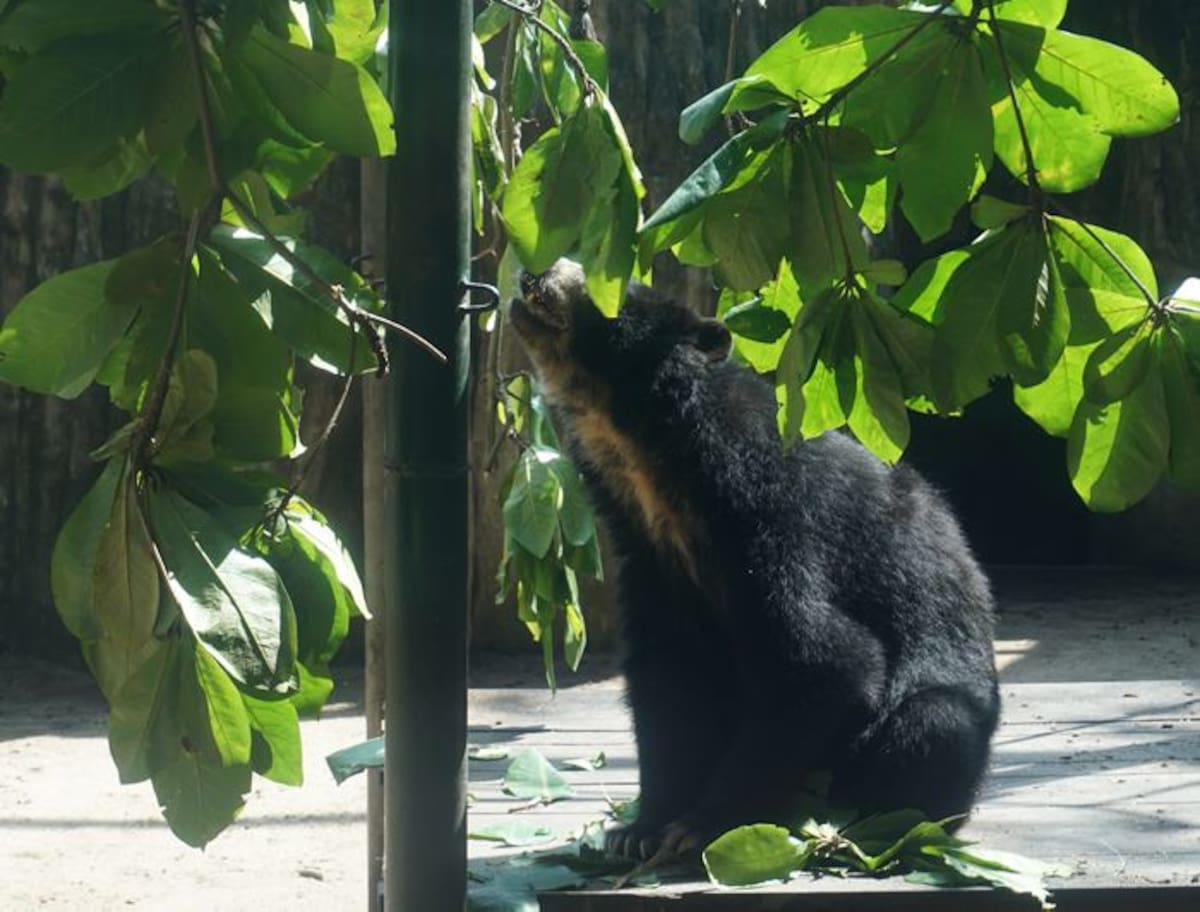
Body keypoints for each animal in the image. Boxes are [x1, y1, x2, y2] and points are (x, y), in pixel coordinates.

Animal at [508, 259, 1000, 861]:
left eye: (609, 287)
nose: (537, 271)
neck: (655, 468)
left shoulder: (769, 522)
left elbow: (826, 661)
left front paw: (702, 826)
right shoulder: (651, 560)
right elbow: (668, 679)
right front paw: (638, 830)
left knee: (933, 724)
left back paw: (860, 827)